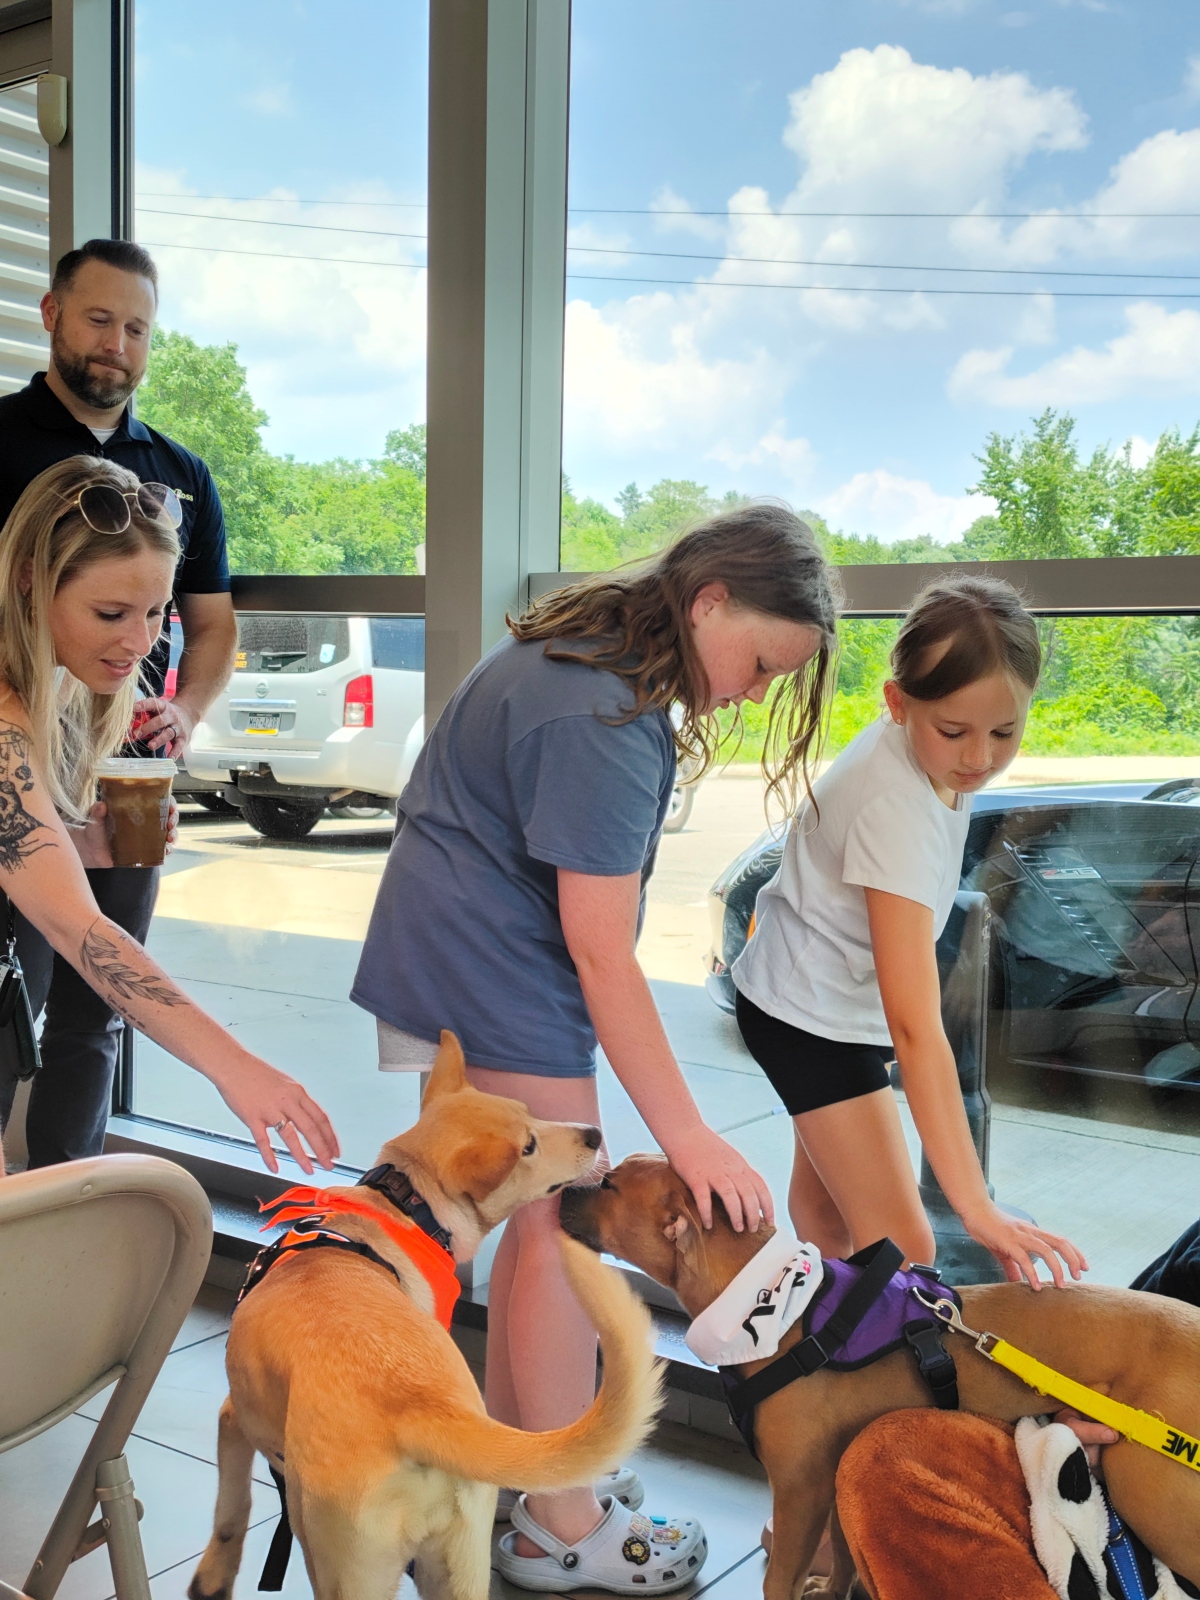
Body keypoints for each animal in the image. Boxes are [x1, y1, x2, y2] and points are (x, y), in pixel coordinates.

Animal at [187, 1036, 662, 1600]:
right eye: (528, 1145)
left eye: (532, 1117)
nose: (593, 1134)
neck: (404, 1202)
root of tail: (420, 1408)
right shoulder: (233, 1418)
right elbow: (230, 1507)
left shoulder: (233, 1417)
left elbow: (229, 1507)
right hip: (451, 1561)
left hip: (347, 1563)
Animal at [563, 1158, 1200, 1600]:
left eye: (611, 1185)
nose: (564, 1189)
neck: (774, 1307)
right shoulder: (832, 1476)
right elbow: (846, 1554)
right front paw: (834, 1588)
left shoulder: (800, 1490)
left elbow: (779, 1580)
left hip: (1152, 1491)